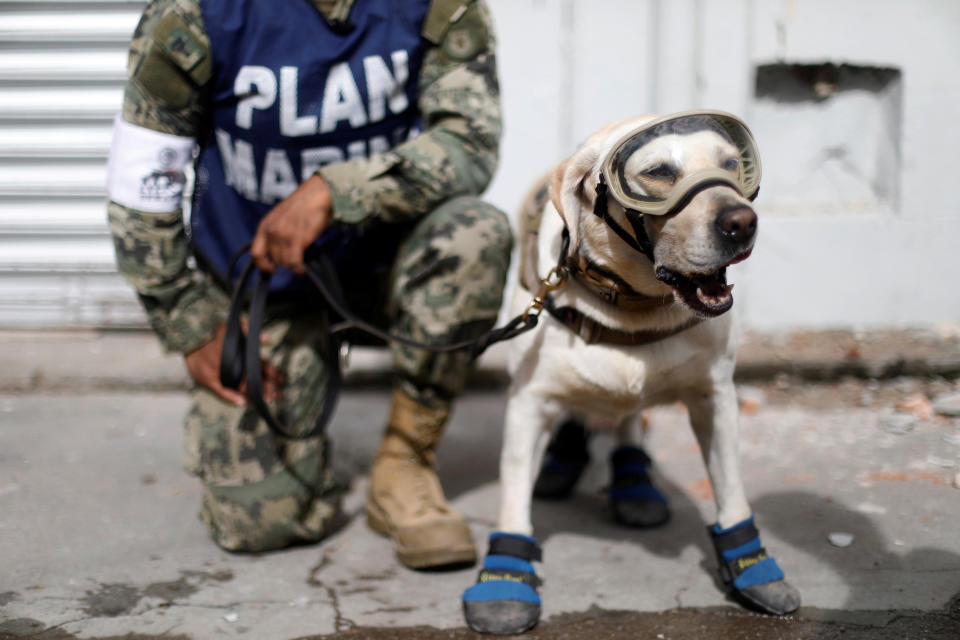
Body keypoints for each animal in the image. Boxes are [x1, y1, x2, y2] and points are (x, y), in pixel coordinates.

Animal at [462, 111, 800, 636]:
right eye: (659, 172)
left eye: (731, 164)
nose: (742, 222)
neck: (632, 310)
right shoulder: (527, 403)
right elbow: (514, 497)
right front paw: (505, 579)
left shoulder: (716, 399)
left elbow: (732, 493)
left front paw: (754, 569)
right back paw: (563, 459)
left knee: (626, 422)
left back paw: (634, 480)